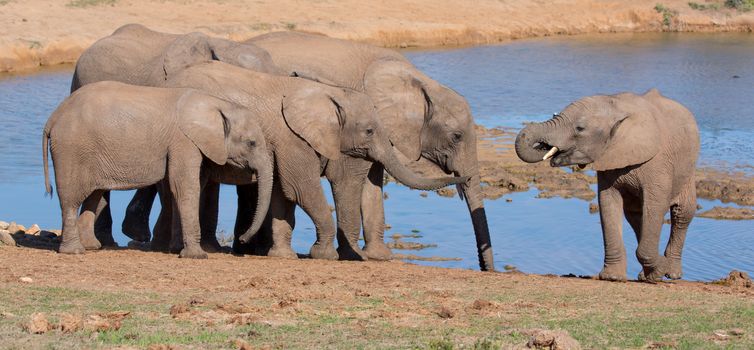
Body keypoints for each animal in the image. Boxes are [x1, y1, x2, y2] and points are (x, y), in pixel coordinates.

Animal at [42, 81, 272, 258]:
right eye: (251, 143)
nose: (242, 239)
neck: (218, 104)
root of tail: (53, 117)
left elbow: (183, 188)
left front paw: (178, 250)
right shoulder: (183, 141)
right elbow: (185, 187)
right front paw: (196, 256)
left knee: (95, 195)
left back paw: (91, 246)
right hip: (71, 149)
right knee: (71, 198)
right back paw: (74, 251)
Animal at [244, 31, 496, 270]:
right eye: (456, 136)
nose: (487, 269)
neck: (419, 81)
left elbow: (373, 182)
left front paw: (378, 256)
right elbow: (348, 179)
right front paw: (353, 256)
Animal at [512, 89, 700, 282]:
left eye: (580, 128)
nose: (545, 146)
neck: (617, 106)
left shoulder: (658, 162)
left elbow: (656, 205)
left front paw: (659, 271)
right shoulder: (607, 159)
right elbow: (607, 202)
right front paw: (613, 277)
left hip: (688, 168)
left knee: (682, 213)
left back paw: (672, 274)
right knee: (635, 215)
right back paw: (645, 275)